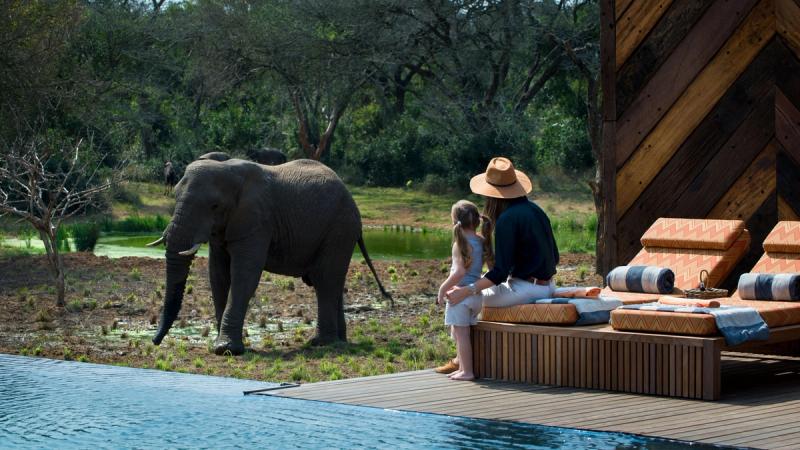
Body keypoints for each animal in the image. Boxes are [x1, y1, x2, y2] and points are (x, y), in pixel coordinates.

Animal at [147, 158, 390, 355]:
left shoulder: (257, 222)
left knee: (325, 280)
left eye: (214, 206)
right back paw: (338, 342)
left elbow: (244, 275)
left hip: (340, 228)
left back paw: (321, 343)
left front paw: (226, 350)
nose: (154, 342)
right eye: (175, 196)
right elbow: (218, 276)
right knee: (333, 282)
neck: (228, 170)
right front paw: (219, 344)